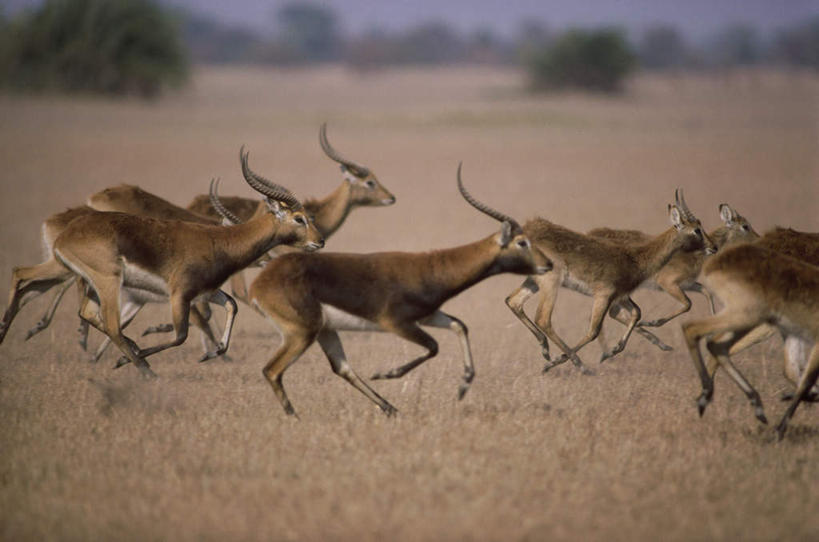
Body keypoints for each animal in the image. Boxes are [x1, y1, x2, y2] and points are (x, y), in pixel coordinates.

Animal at [243, 164, 552, 418]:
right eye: (522, 242)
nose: (548, 264)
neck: (432, 269)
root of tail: (261, 283)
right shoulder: (396, 323)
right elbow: (434, 346)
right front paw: (387, 373)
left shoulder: (428, 315)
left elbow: (460, 326)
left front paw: (464, 386)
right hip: (301, 333)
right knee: (272, 370)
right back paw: (296, 418)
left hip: (324, 330)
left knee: (342, 368)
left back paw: (390, 409)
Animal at [588, 203, 756, 328]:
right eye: (745, 226)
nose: (758, 238)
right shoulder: (668, 283)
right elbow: (688, 303)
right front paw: (654, 322)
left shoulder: (687, 284)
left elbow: (706, 292)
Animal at [684, 243, 819, 442]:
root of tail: (716, 262)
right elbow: (806, 382)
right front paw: (779, 431)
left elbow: (800, 377)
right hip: (748, 317)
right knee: (693, 329)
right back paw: (706, 397)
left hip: (750, 320)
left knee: (716, 344)